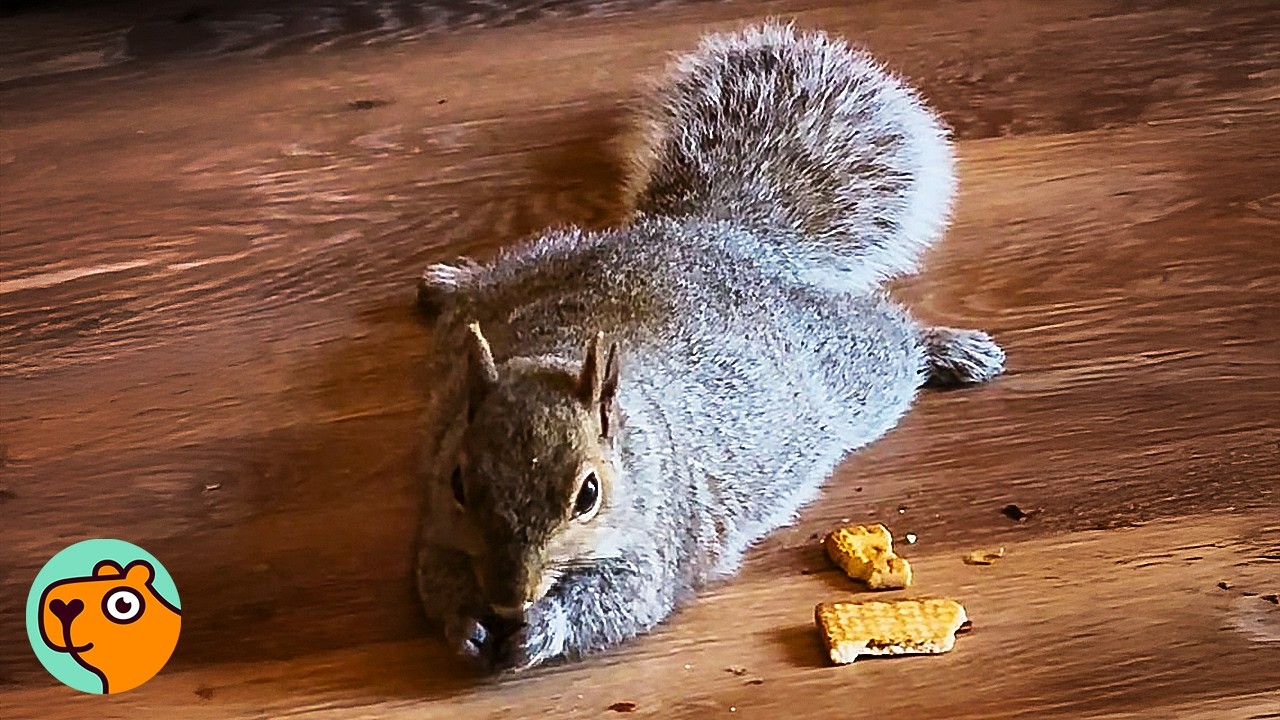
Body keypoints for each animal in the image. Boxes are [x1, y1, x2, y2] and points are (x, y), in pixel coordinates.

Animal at [412, 21, 1005, 672]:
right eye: (458, 481)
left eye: (588, 494)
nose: (509, 596)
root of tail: (715, 233)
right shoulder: (434, 520)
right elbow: (434, 575)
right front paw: (464, 622)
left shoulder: (662, 533)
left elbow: (623, 600)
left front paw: (543, 629)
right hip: (536, 261)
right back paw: (449, 282)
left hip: (845, 365)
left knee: (891, 339)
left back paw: (948, 348)